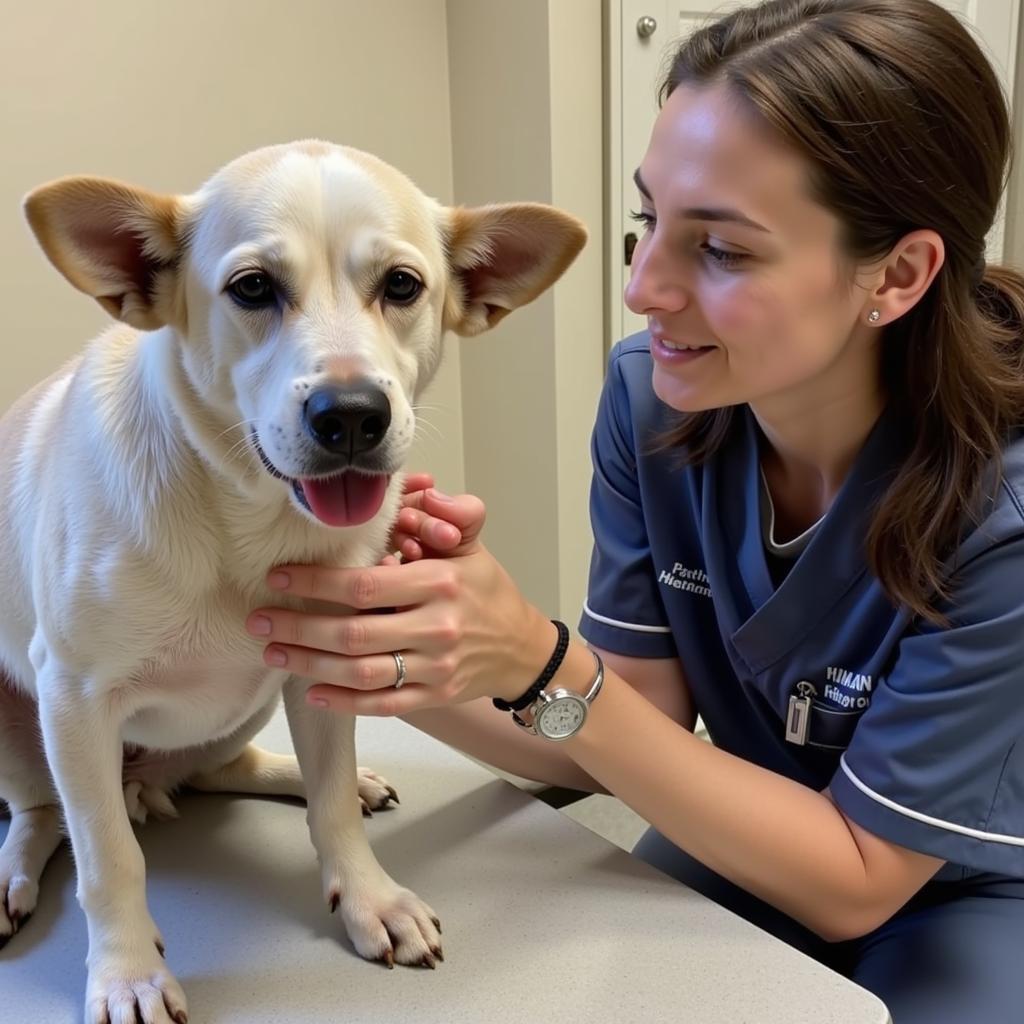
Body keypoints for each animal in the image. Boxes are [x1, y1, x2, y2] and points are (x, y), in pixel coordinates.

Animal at [0, 142, 585, 1024]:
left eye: (402, 286)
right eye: (252, 288)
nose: (351, 416)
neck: (247, 521)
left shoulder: (324, 668)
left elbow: (332, 804)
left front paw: (369, 896)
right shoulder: (72, 698)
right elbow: (108, 859)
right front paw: (127, 971)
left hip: (245, 706)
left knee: (215, 768)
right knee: (43, 811)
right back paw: (15, 872)